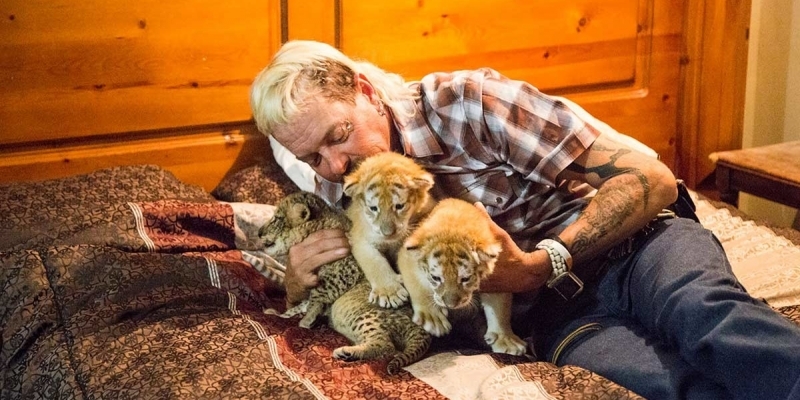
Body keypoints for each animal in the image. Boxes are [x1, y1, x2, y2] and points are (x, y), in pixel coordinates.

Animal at [397, 198, 528, 356]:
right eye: (436, 278)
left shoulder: (500, 275)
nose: (450, 305)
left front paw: (505, 339)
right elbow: (417, 284)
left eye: (465, 279)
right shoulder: (407, 257)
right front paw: (432, 318)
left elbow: (499, 307)